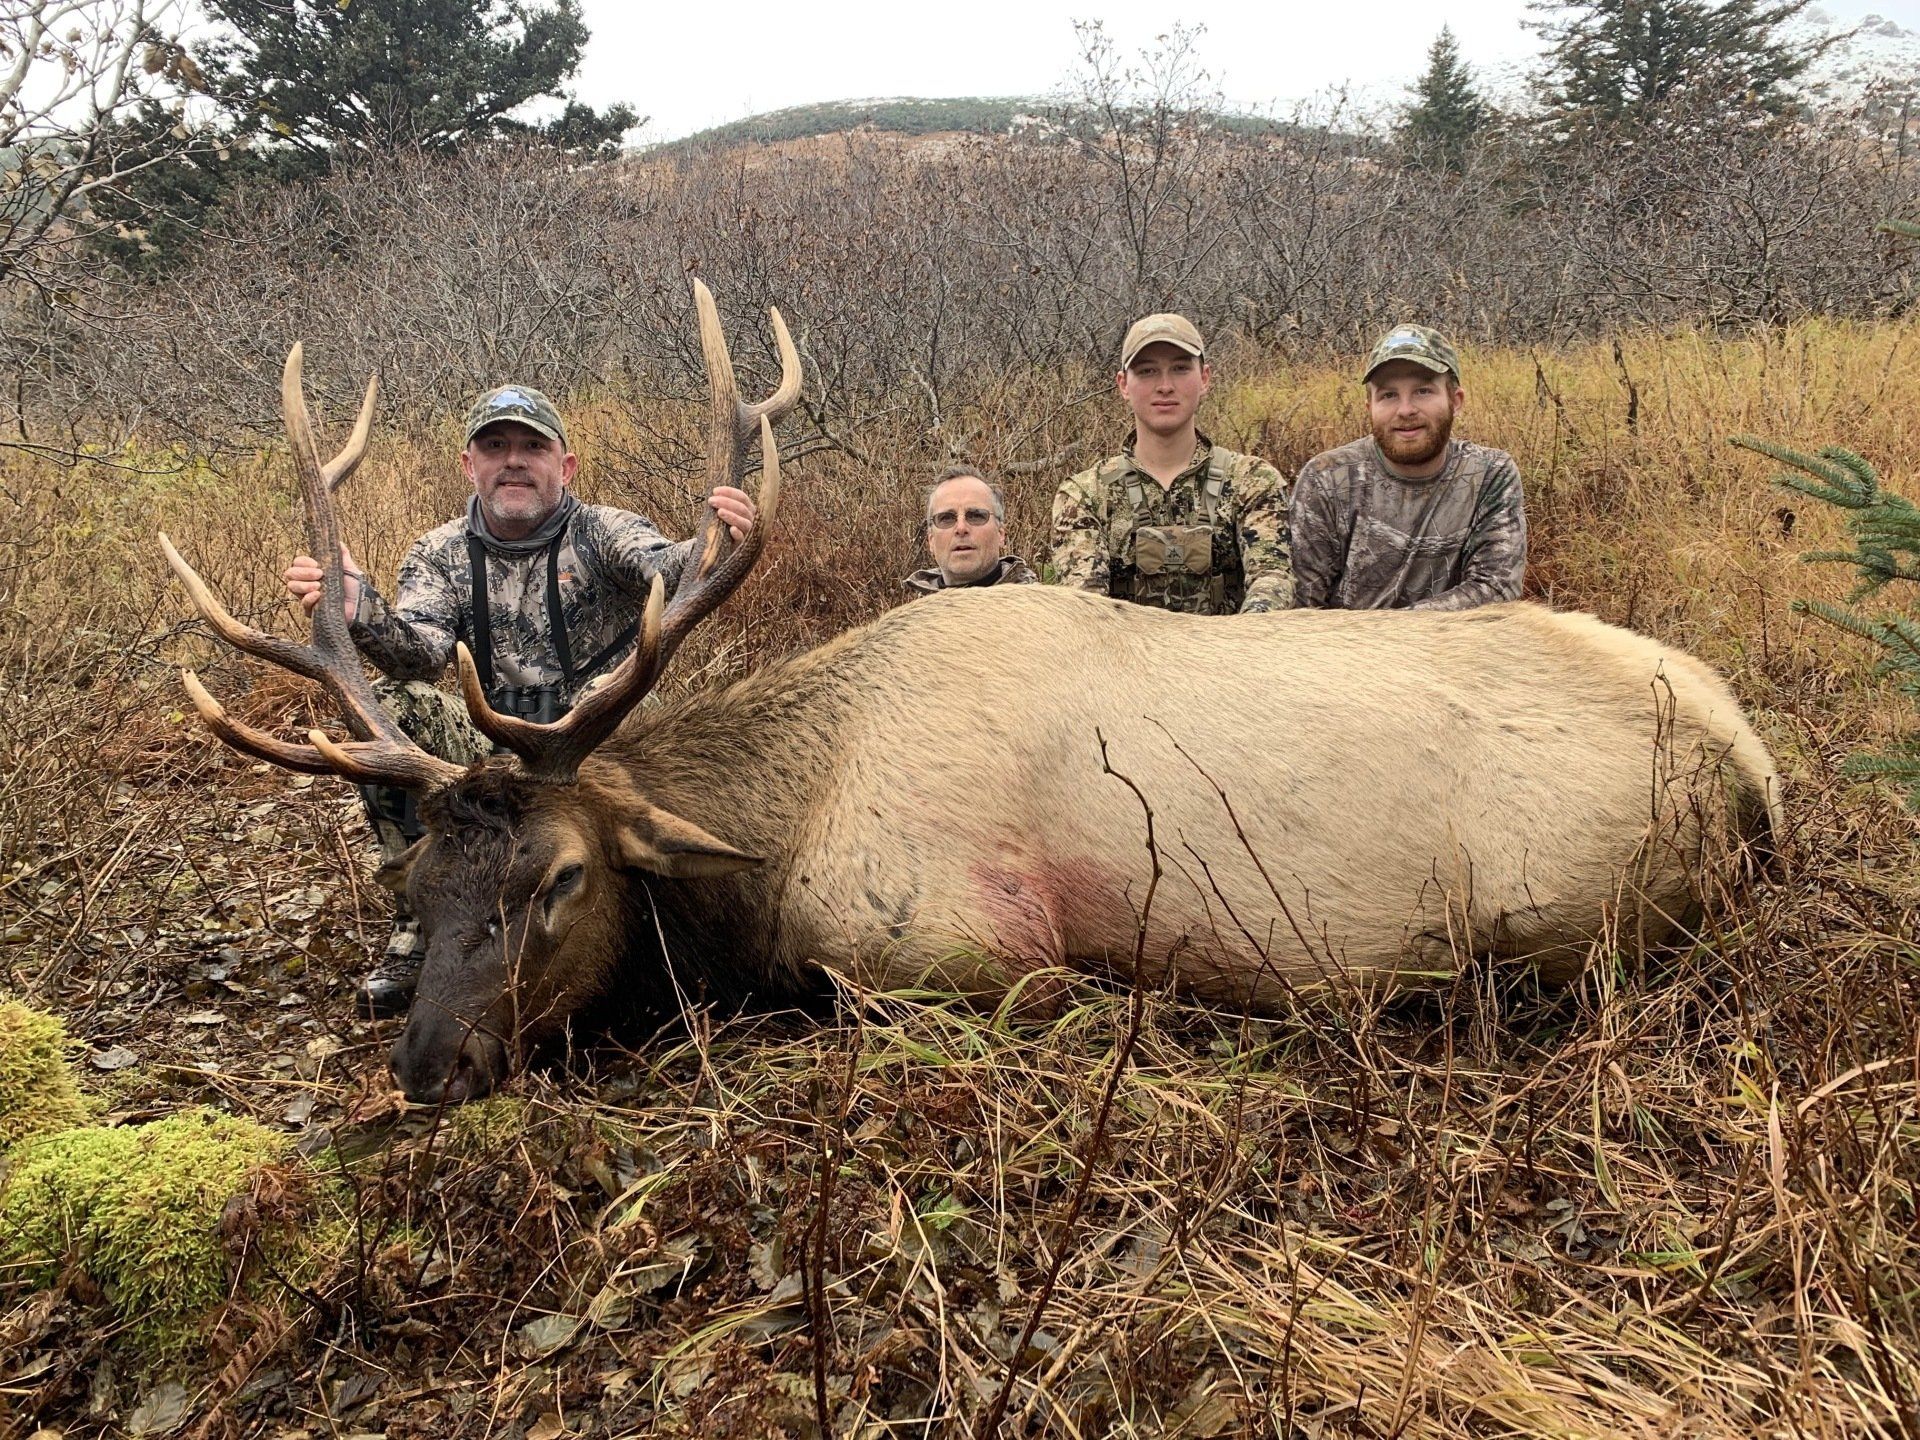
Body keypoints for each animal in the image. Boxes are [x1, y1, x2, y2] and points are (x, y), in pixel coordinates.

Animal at [162, 284, 1783, 1105]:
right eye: (419, 877)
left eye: (560, 875)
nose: (429, 1064)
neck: (786, 831)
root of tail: (1751, 763)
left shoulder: (955, 947)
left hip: (1562, 915)